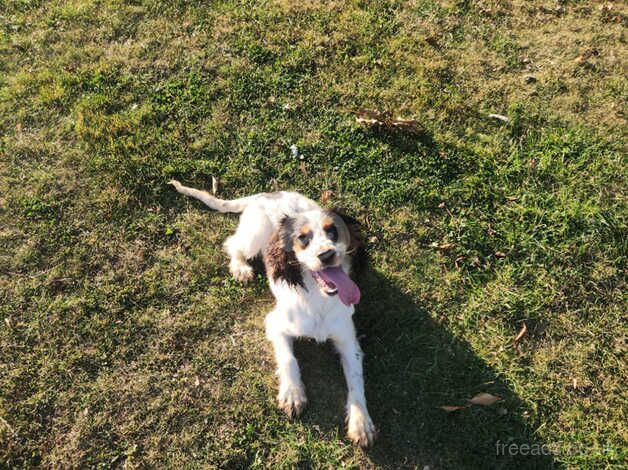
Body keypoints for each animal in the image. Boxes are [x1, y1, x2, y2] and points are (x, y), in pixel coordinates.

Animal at [169, 181, 376, 448]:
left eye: (334, 232)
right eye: (303, 238)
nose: (327, 255)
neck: (317, 298)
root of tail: (266, 194)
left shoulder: (348, 340)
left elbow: (356, 380)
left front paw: (361, 423)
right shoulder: (275, 324)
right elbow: (288, 359)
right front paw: (292, 394)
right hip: (254, 236)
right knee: (232, 244)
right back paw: (240, 268)